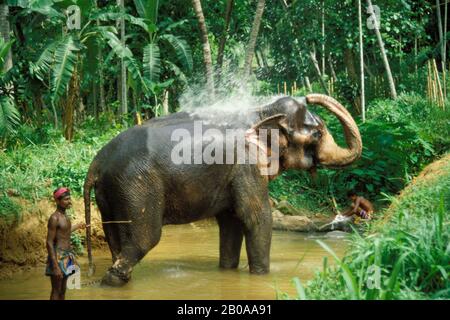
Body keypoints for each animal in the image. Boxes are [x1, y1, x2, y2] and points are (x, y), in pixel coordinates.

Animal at [83, 94, 362, 286]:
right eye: (317, 134)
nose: (310, 96)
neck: (262, 111)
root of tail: (97, 162)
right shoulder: (246, 165)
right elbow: (256, 218)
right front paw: (262, 277)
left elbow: (231, 221)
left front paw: (228, 271)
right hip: (136, 186)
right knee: (145, 238)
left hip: (110, 195)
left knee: (115, 238)